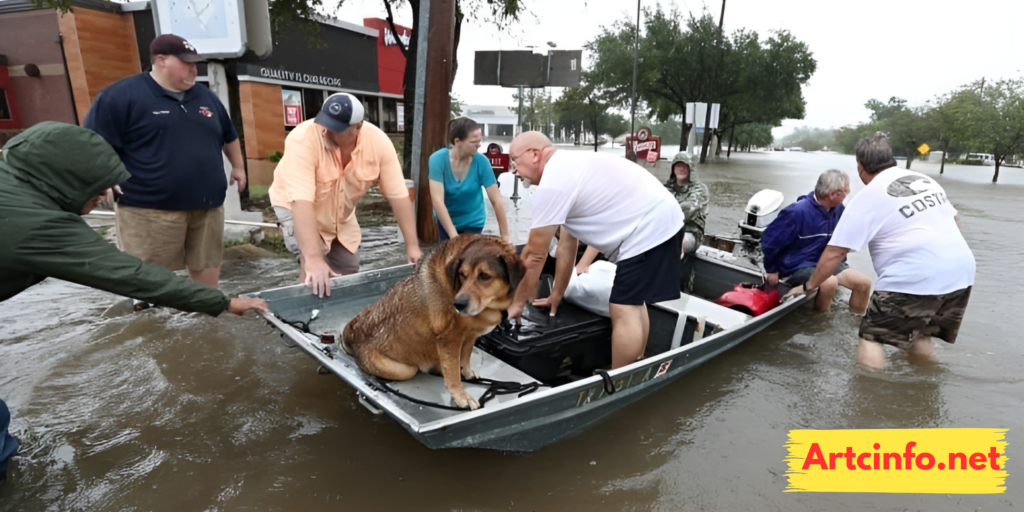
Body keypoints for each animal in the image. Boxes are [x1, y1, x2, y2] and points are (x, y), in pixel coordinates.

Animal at [344, 234, 524, 409]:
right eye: (462, 275)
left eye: (485, 276)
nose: (458, 304)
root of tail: (351, 340)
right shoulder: (449, 339)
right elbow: (452, 372)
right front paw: (461, 396)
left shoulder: (469, 335)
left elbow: (465, 356)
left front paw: (466, 372)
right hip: (403, 370)